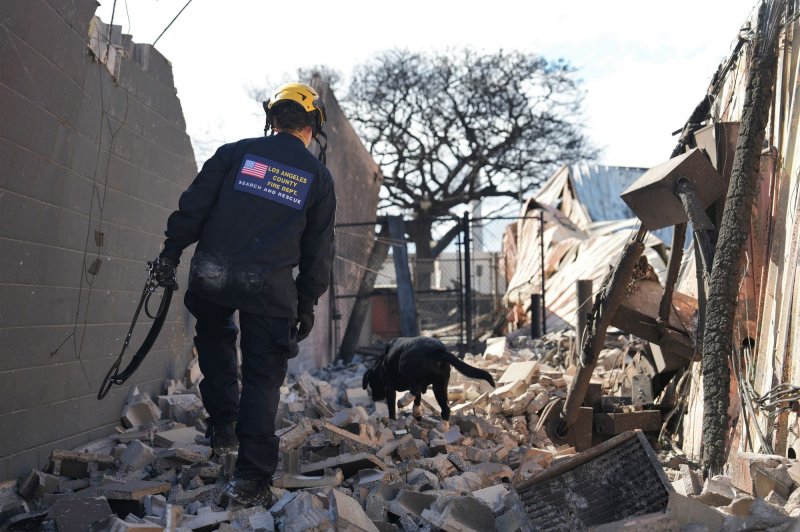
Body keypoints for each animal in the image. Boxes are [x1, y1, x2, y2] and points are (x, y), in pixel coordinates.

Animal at [362, 336, 494, 420]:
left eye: (371, 383)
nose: (375, 398)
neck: (381, 363)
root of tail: (438, 351)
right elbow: (418, 398)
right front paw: (416, 412)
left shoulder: (390, 388)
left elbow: (392, 407)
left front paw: (392, 419)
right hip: (439, 387)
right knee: (445, 409)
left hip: (404, 365)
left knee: (414, 391)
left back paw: (403, 401)